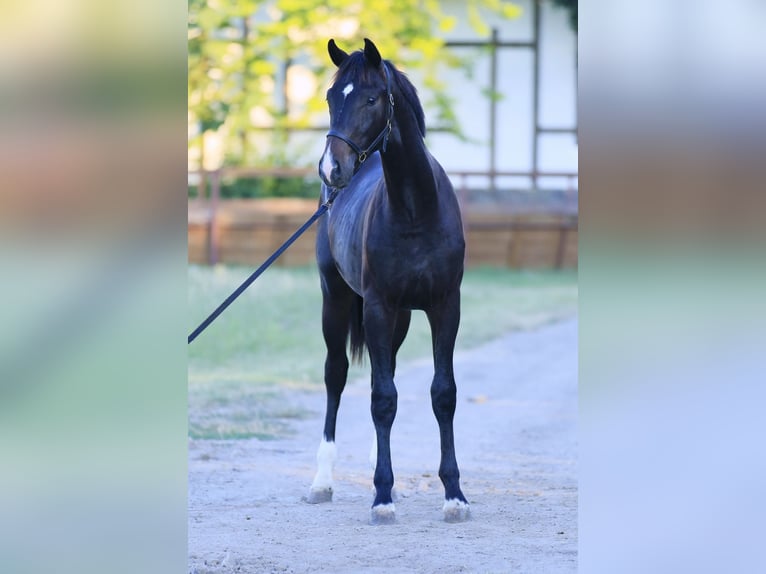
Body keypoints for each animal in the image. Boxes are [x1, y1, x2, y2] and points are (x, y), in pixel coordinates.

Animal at [308, 38, 472, 528]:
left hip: (399, 318)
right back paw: (322, 481)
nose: (331, 169)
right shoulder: (377, 306)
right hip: (336, 300)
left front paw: (454, 495)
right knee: (336, 376)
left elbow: (442, 394)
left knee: (390, 374)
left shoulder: (445, 307)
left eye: (371, 98)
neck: (415, 209)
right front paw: (382, 497)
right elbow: (381, 397)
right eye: (330, 97)